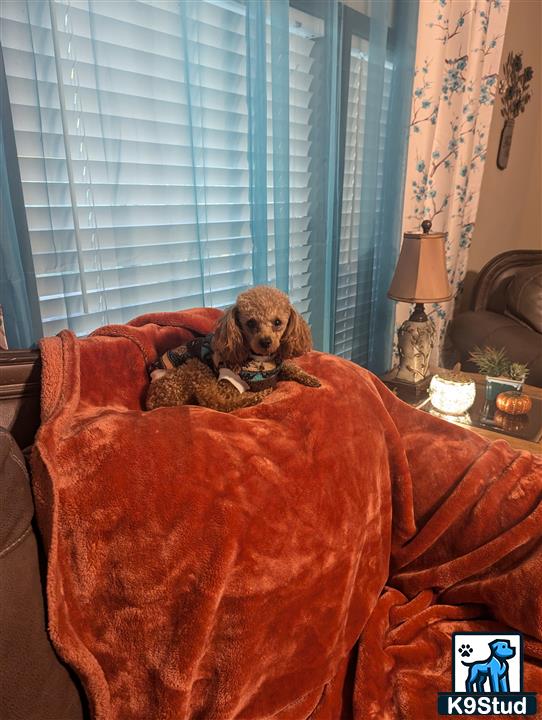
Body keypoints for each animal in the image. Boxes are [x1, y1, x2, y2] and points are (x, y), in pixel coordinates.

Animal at [147, 286, 320, 410]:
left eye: (277, 322)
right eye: (251, 323)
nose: (265, 342)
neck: (262, 359)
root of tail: (151, 402)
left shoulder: (277, 366)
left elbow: (292, 367)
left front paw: (312, 379)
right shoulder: (228, 381)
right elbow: (225, 400)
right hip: (196, 366)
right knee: (215, 402)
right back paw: (257, 396)